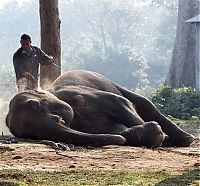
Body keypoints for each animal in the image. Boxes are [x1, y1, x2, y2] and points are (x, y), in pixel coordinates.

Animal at [5, 70, 194, 148]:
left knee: (143, 104)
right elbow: (117, 130)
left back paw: (186, 139)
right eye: (31, 136)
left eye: (35, 105)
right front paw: (132, 134)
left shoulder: (80, 94)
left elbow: (120, 103)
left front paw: (159, 135)